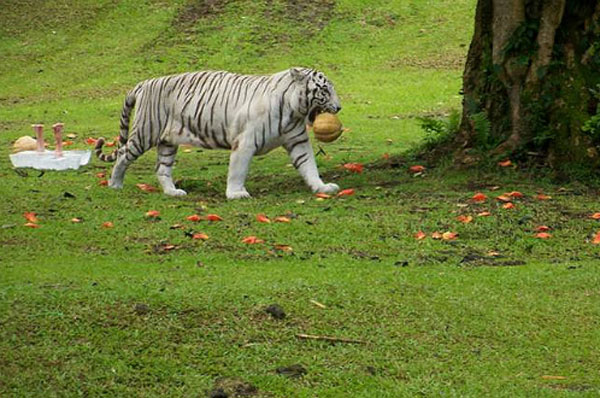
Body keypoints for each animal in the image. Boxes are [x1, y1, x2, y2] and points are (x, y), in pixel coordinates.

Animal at [96, 69, 344, 201]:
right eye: (324, 90)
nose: (339, 107)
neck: (293, 112)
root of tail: (145, 83)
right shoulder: (245, 143)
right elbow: (237, 170)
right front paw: (236, 194)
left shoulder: (298, 141)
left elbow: (309, 165)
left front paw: (321, 187)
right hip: (145, 132)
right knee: (123, 154)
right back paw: (114, 184)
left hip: (167, 141)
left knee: (162, 169)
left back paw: (173, 192)